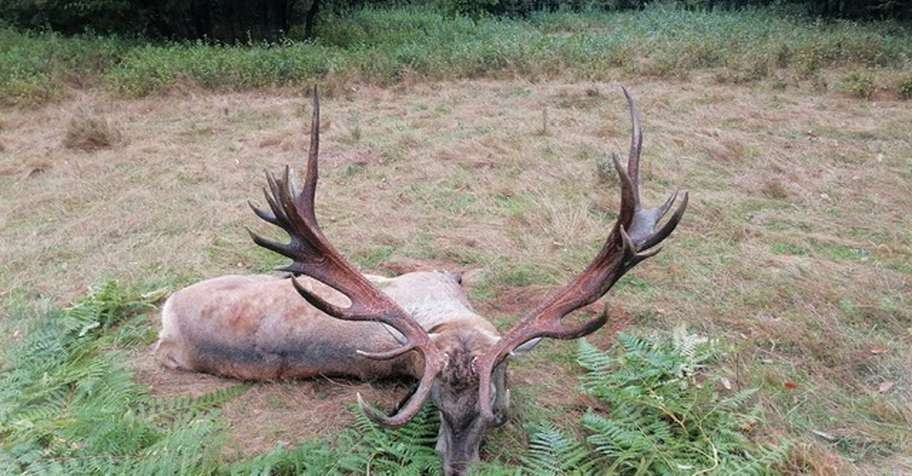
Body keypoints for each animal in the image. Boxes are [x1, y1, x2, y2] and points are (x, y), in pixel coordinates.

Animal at [155, 87, 688, 476]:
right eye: (436, 407)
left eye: (496, 409)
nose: (456, 466)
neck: (454, 318)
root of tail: (166, 320)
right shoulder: (432, 273)